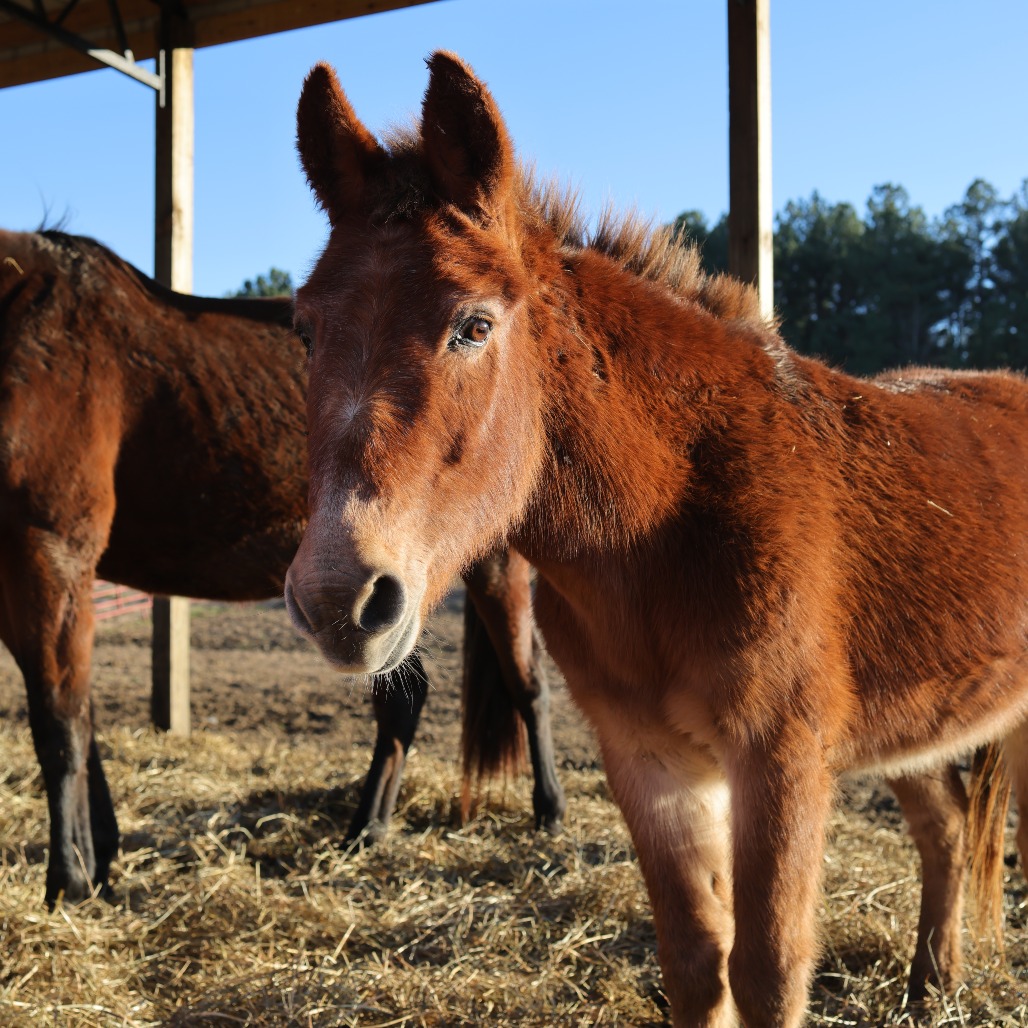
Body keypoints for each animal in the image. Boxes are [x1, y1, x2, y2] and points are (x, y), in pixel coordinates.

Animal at [0, 227, 565, 909]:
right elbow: (80, 720)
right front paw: (99, 855)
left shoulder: (49, 554)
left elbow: (59, 726)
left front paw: (70, 880)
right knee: (406, 701)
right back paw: (366, 829)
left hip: (487, 569)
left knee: (528, 684)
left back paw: (549, 812)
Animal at [285, 53, 1027, 1025]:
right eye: (305, 330)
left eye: (473, 325)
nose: (341, 600)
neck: (670, 527)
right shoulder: (650, 762)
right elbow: (695, 961)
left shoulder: (781, 760)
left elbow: (768, 969)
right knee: (945, 827)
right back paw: (930, 985)